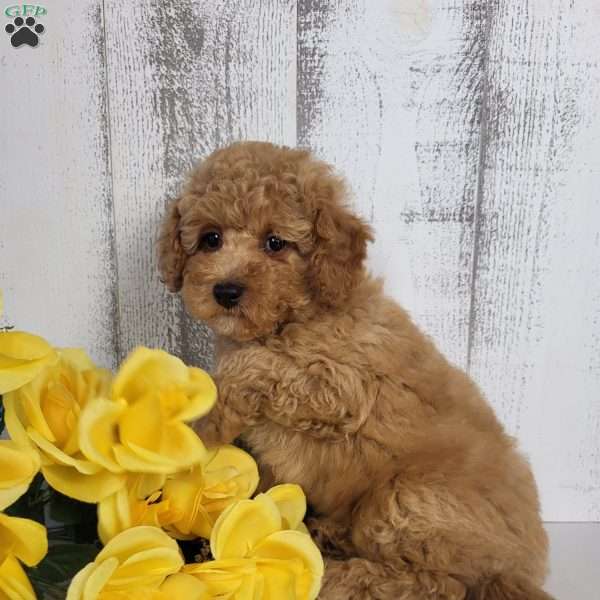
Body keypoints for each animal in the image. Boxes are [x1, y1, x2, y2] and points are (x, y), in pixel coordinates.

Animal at [157, 142, 552, 600]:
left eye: (275, 243)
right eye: (211, 239)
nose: (226, 291)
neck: (294, 318)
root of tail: (518, 571)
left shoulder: (346, 387)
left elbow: (257, 366)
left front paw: (207, 419)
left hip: (406, 498)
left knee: (436, 583)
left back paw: (331, 573)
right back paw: (327, 534)